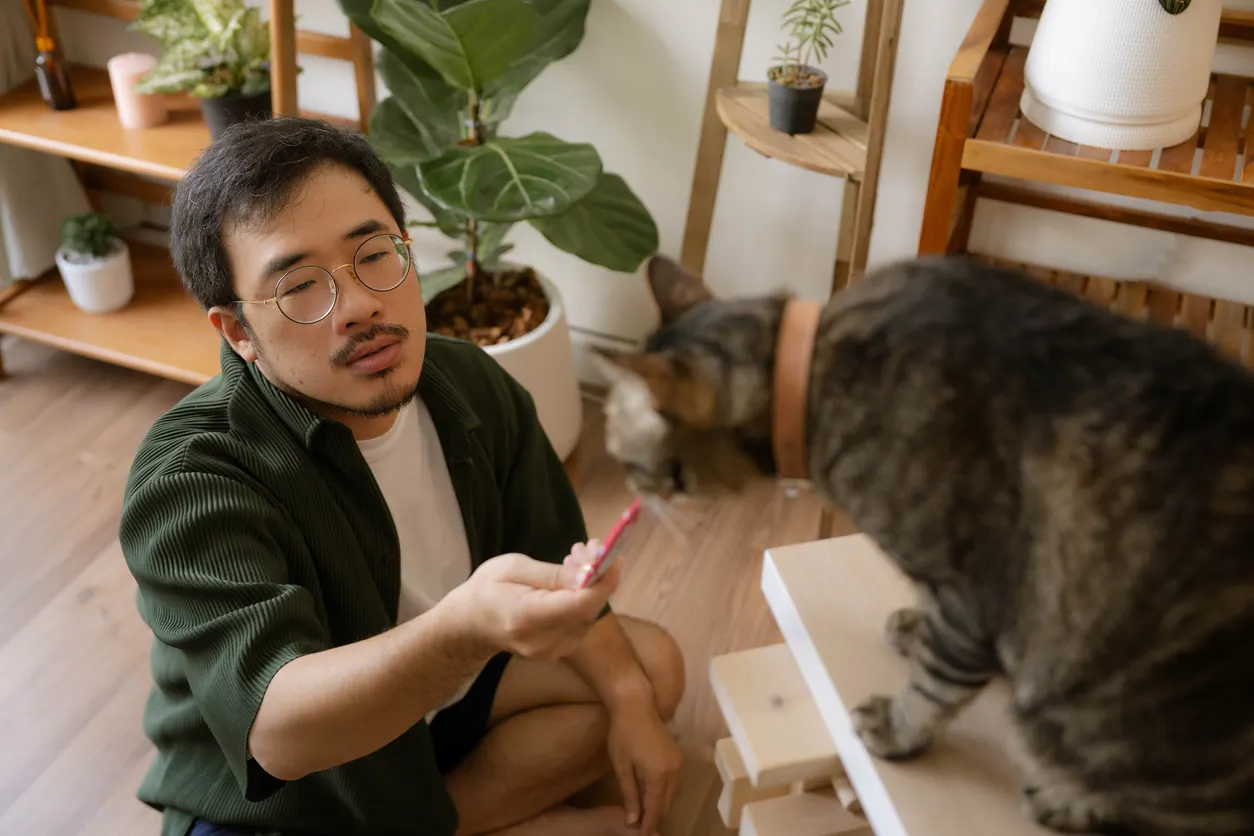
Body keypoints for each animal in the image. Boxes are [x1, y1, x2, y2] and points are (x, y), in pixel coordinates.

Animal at [591, 255, 1254, 836]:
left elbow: (937, 680)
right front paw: (912, 626)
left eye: (626, 459)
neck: (810, 378)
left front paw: (897, 728)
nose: (629, 489)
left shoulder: (974, 593)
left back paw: (1066, 800)